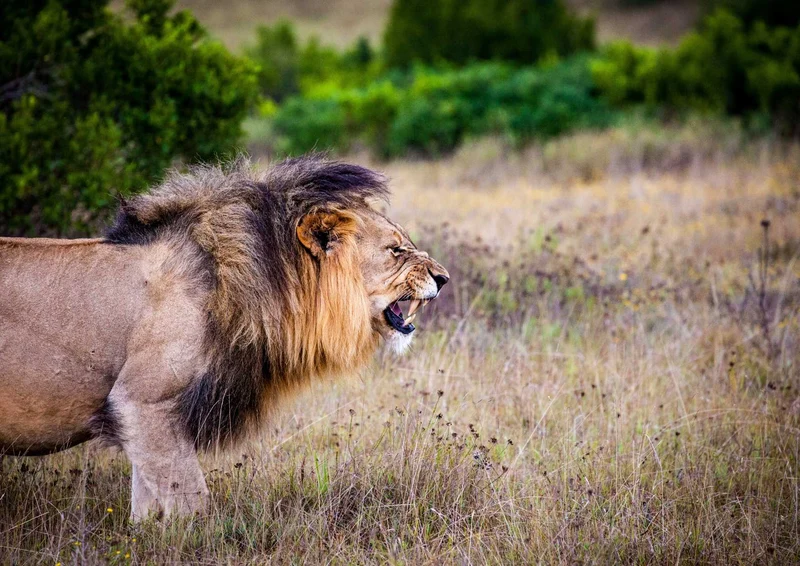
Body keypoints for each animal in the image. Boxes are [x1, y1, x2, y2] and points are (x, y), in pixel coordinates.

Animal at [0, 156, 449, 520]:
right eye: (395, 250)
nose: (443, 278)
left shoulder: (146, 418)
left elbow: (147, 505)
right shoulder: (141, 401)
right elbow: (191, 501)